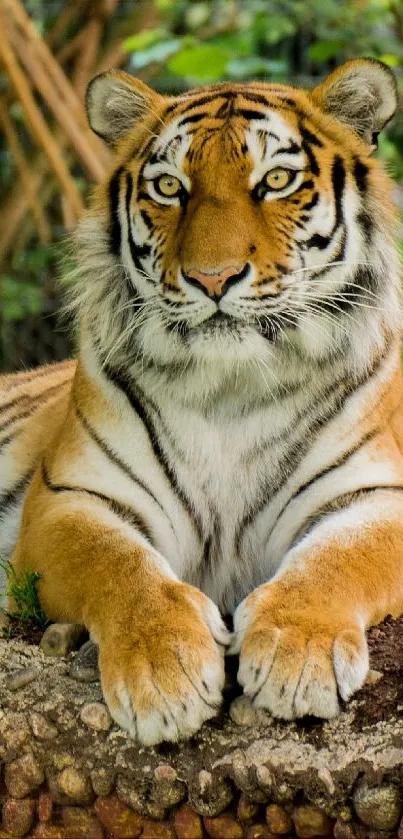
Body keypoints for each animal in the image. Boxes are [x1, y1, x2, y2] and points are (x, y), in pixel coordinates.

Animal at [0, 55, 403, 744]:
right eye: (169, 187)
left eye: (275, 180)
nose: (212, 278)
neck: (230, 388)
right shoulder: (68, 499)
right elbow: (118, 565)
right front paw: (164, 671)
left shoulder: (377, 493)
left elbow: (338, 558)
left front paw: (298, 652)